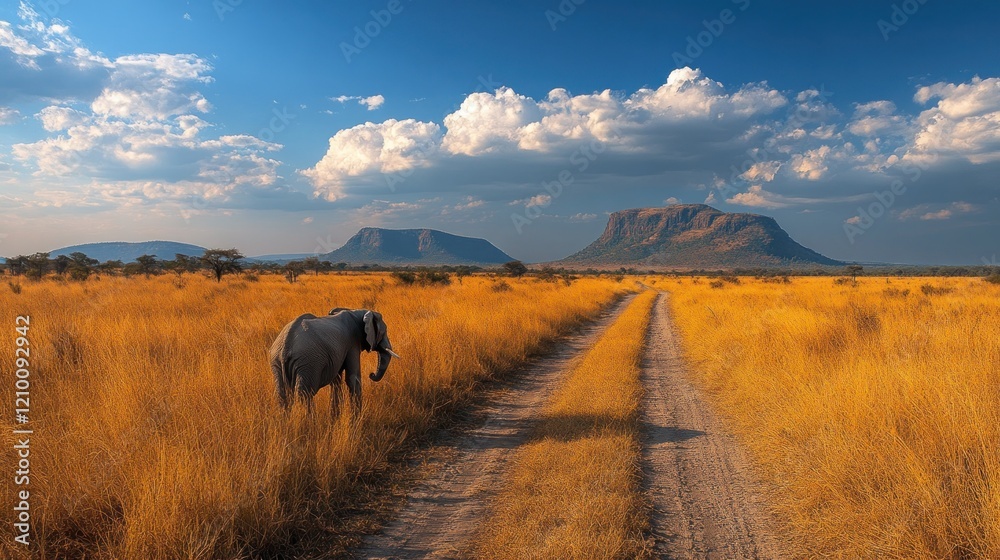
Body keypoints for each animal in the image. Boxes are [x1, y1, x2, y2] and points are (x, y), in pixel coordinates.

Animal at [269, 308, 400, 416]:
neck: (357, 312)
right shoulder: (352, 343)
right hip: (308, 362)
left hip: (277, 363)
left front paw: (335, 417)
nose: (371, 374)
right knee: (305, 395)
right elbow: (353, 379)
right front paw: (357, 420)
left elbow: (336, 381)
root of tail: (285, 347)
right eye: (384, 332)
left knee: (282, 395)